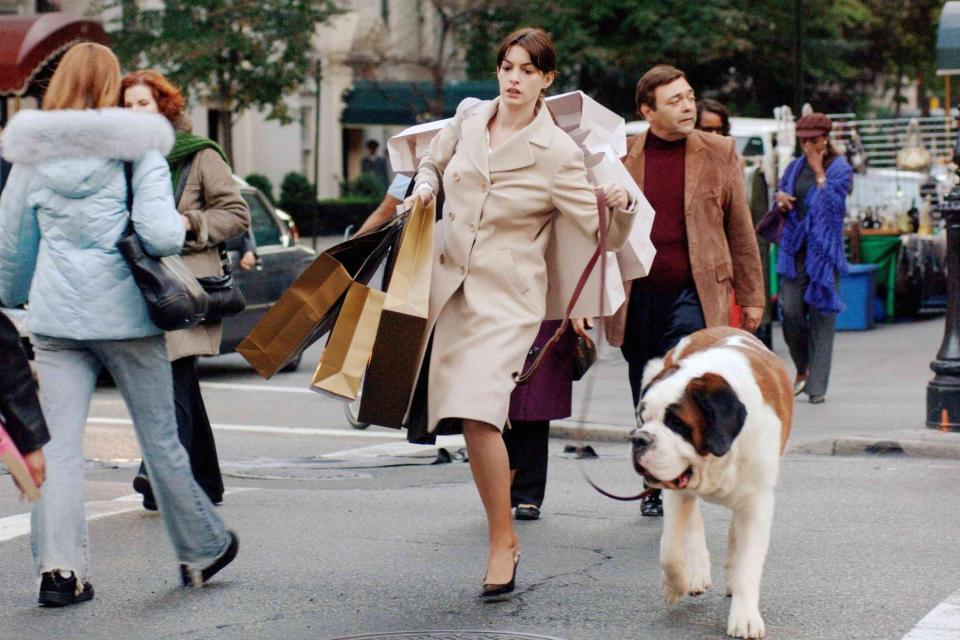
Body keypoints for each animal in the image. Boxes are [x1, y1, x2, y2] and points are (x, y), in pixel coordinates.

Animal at [632, 328, 796, 636]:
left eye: (676, 423)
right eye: (643, 418)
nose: (639, 439)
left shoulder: (757, 505)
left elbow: (748, 562)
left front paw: (745, 617)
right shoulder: (675, 492)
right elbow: (670, 550)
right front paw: (674, 585)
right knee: (693, 524)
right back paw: (696, 575)